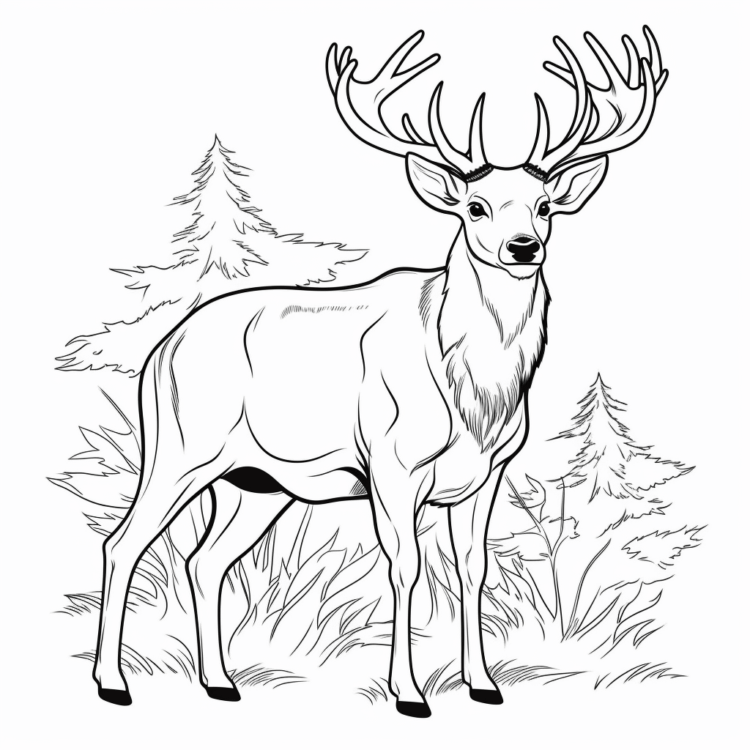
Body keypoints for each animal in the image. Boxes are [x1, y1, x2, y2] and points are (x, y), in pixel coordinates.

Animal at [93, 28, 668, 717]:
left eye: (545, 205)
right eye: (475, 207)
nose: (523, 246)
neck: (476, 395)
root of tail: (161, 352)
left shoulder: (488, 474)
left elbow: (472, 567)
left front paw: (484, 685)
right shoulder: (392, 460)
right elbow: (405, 567)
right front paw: (410, 693)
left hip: (255, 483)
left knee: (206, 561)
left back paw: (220, 682)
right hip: (181, 447)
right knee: (123, 543)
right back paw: (113, 683)